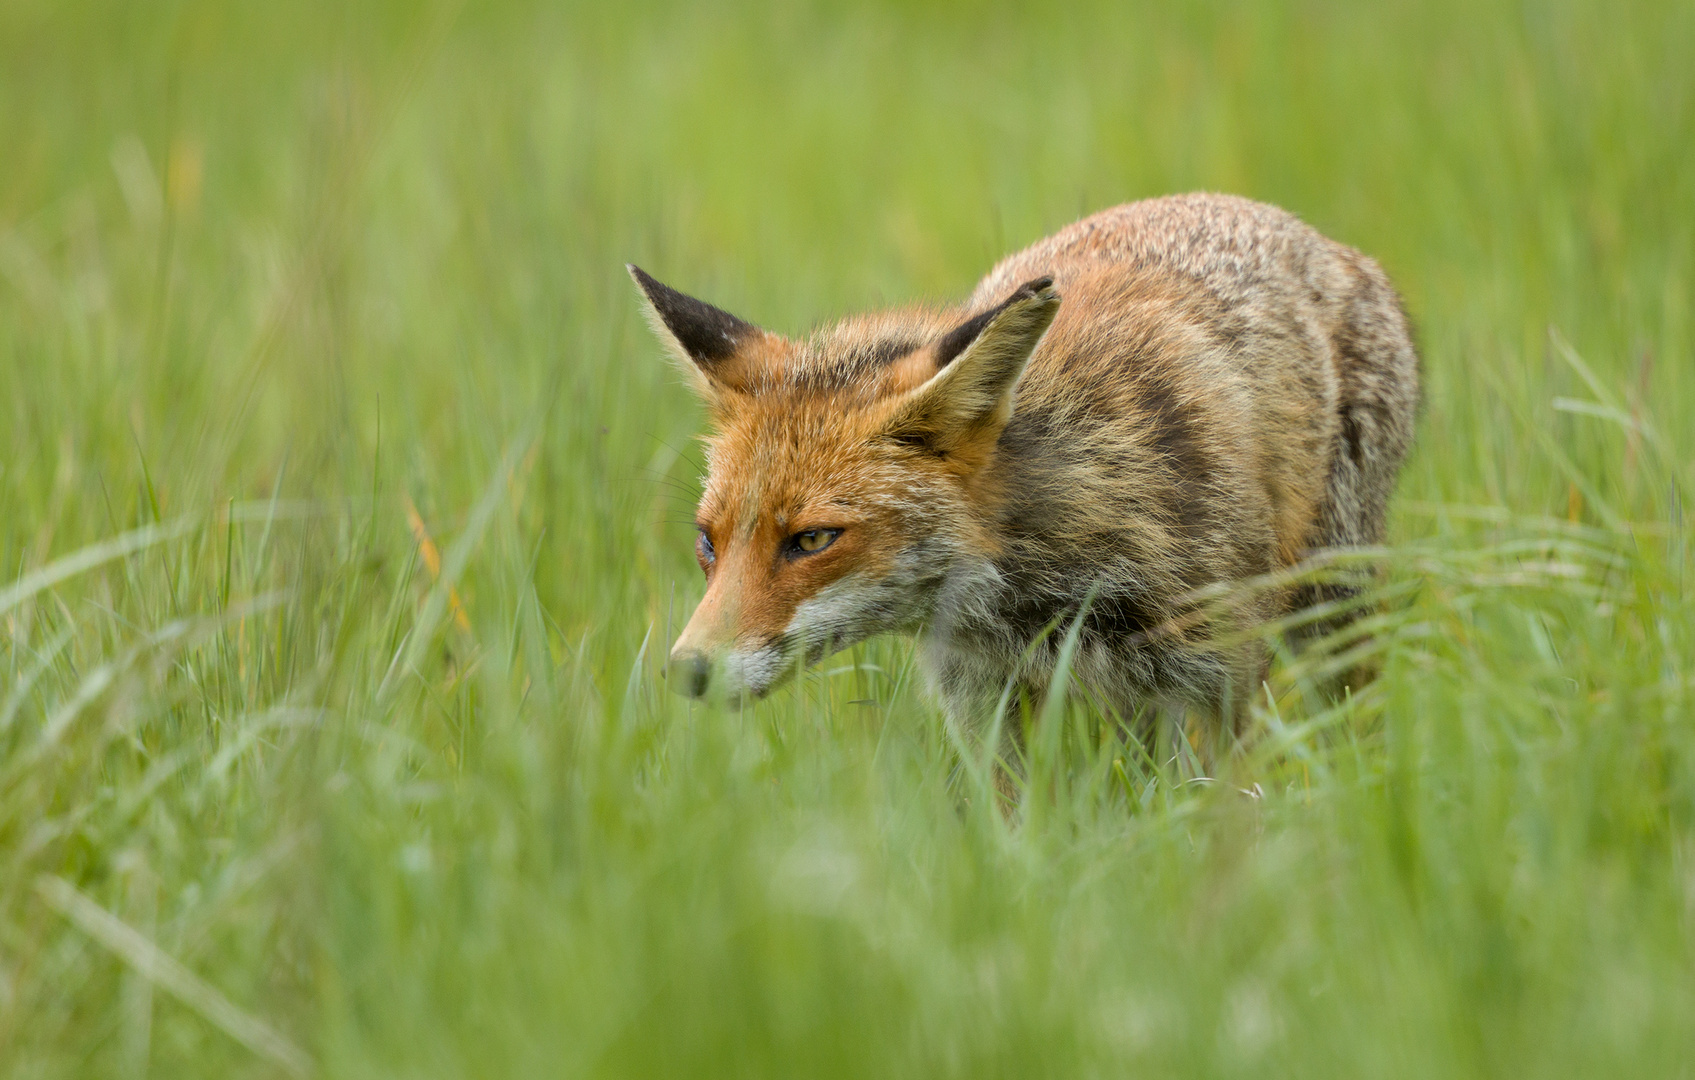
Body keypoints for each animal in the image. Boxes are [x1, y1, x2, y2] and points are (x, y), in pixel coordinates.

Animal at [630, 191, 1423, 742]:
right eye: (706, 541)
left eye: (813, 540)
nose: (687, 672)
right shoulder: (985, 702)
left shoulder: (1217, 678)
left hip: (1332, 607)